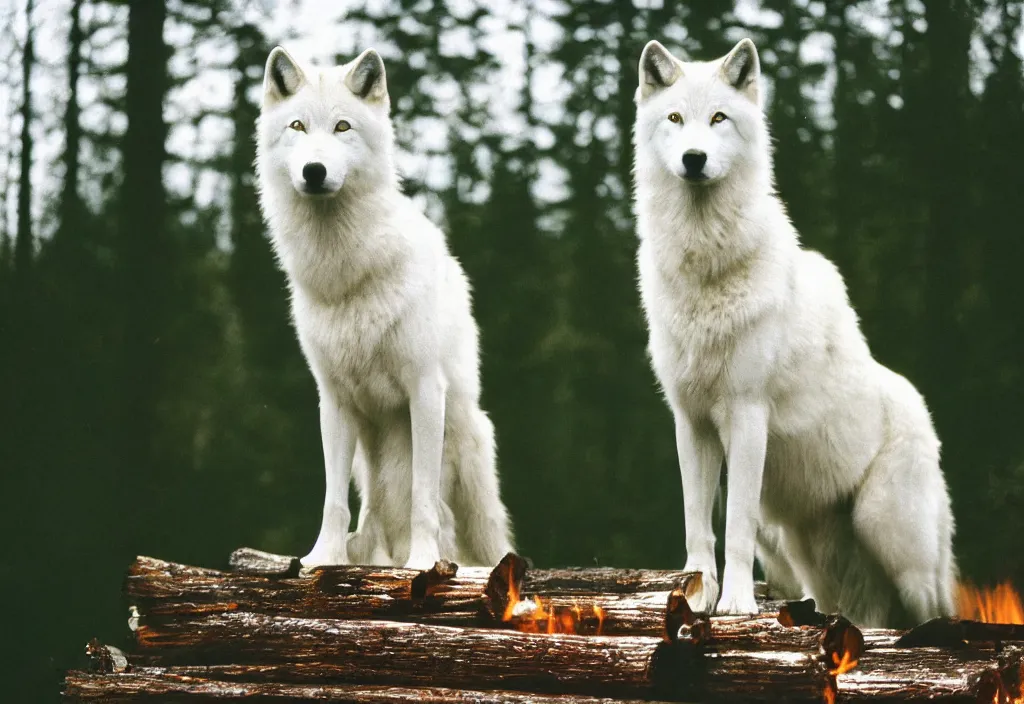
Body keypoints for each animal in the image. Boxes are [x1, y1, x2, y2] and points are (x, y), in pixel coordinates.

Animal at [252, 46, 516, 568]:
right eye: (297, 126)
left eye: (342, 127)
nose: (314, 171)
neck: (345, 273)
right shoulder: (334, 400)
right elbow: (333, 501)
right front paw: (322, 559)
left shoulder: (425, 390)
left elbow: (423, 498)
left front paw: (423, 563)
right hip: (367, 463)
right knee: (370, 514)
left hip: (471, 458)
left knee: (485, 538)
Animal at [630, 37, 958, 626]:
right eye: (675, 118)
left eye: (719, 118)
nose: (694, 159)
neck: (707, 271)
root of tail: (918, 404)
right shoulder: (690, 422)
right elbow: (698, 529)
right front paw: (697, 596)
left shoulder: (746, 415)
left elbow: (734, 527)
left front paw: (736, 605)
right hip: (805, 554)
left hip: (893, 542)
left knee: (937, 608)